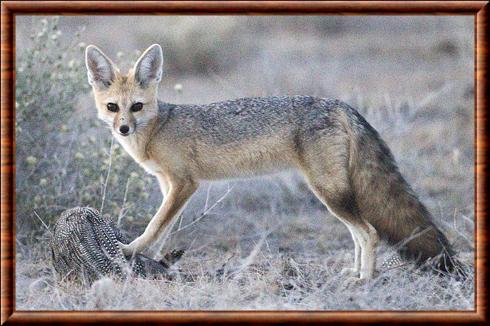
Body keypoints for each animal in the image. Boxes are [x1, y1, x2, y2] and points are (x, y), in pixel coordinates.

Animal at [85, 43, 468, 278]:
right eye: (113, 107)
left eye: (136, 106)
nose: (122, 128)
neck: (157, 128)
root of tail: (340, 105)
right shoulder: (169, 185)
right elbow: (165, 227)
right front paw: (155, 258)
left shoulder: (184, 184)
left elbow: (154, 225)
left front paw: (131, 249)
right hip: (335, 195)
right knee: (360, 233)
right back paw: (355, 272)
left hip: (328, 193)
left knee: (369, 232)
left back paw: (364, 279)